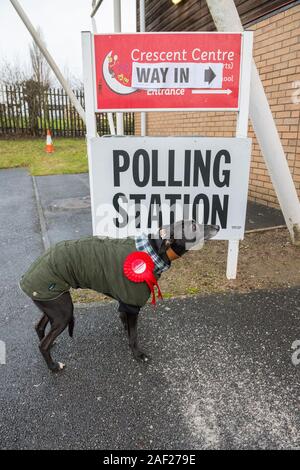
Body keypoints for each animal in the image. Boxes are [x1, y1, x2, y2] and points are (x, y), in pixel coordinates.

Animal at [19, 221, 219, 374]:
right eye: (194, 225)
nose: (217, 225)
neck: (153, 251)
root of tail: (26, 276)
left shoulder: (125, 301)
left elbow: (125, 322)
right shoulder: (132, 304)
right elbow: (134, 336)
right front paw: (138, 354)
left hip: (52, 302)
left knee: (39, 327)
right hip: (63, 311)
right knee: (43, 344)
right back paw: (53, 366)